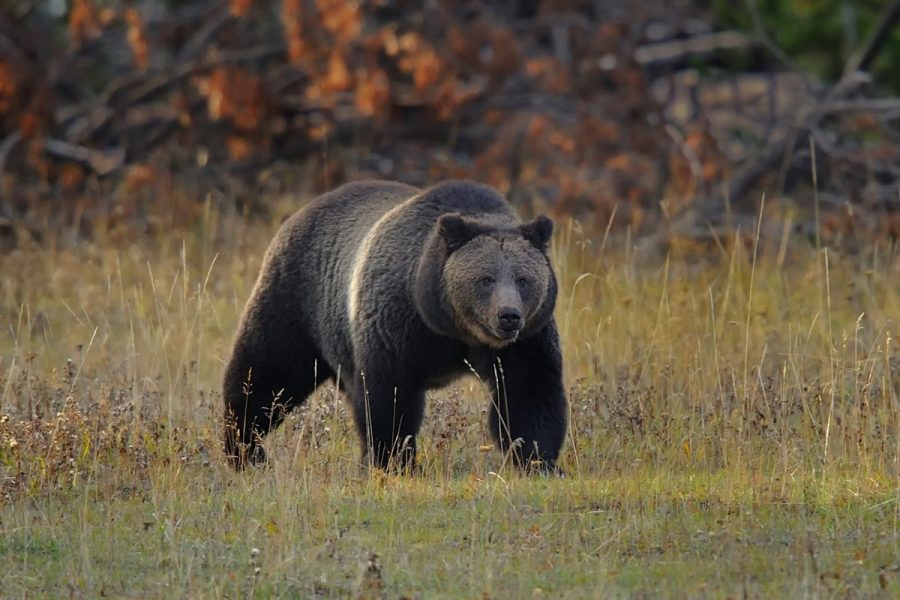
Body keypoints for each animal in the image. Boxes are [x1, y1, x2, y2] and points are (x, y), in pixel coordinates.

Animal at [223, 180, 567, 472]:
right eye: (486, 279)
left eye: (523, 279)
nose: (508, 315)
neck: (451, 327)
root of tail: (299, 213)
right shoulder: (395, 325)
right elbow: (389, 397)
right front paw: (394, 462)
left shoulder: (526, 341)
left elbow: (528, 393)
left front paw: (540, 460)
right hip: (296, 303)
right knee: (266, 374)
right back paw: (244, 450)